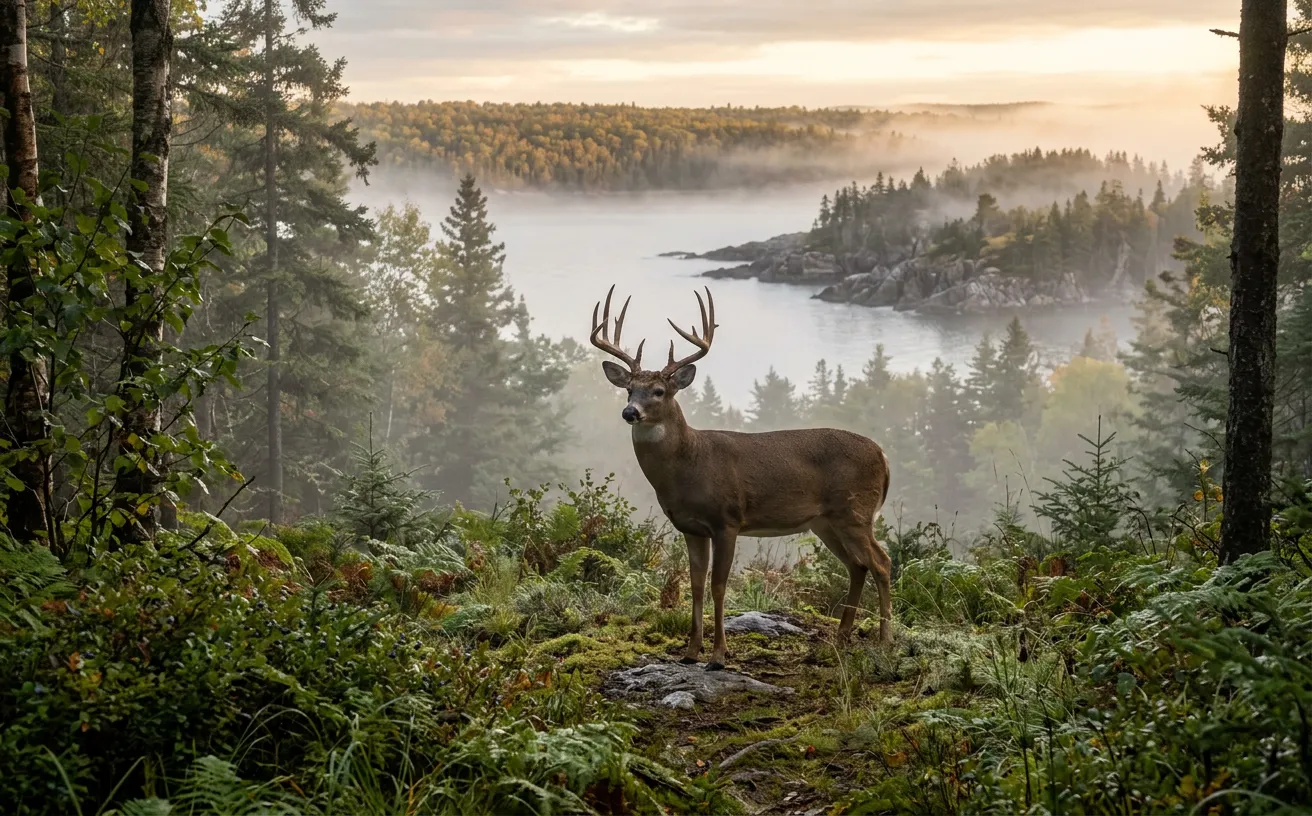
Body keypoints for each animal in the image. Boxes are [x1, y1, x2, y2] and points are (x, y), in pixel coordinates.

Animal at [590, 284, 893, 672]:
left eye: (659, 391)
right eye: (629, 389)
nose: (630, 412)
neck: (690, 465)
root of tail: (883, 456)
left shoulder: (728, 519)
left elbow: (719, 585)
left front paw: (719, 656)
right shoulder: (691, 527)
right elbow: (696, 585)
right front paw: (690, 652)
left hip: (855, 511)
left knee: (882, 562)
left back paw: (885, 641)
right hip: (825, 521)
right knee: (858, 565)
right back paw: (840, 638)